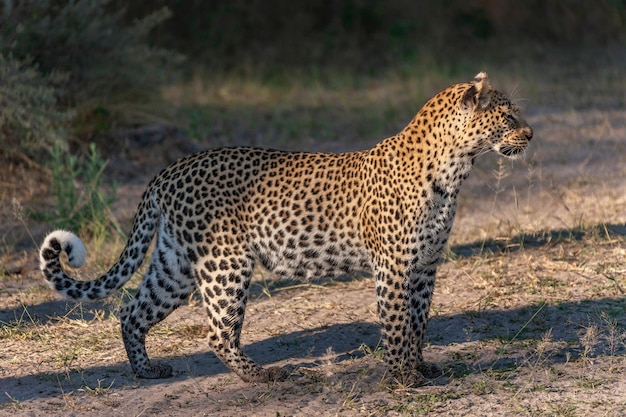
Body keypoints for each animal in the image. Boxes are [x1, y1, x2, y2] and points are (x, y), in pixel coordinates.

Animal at [39, 70, 528, 384]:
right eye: (507, 117)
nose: (531, 134)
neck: (455, 170)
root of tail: (169, 169)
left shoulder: (426, 264)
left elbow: (419, 320)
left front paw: (420, 367)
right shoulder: (394, 266)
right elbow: (397, 323)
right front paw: (402, 378)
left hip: (174, 265)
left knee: (131, 312)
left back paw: (146, 371)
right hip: (225, 265)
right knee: (217, 332)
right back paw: (264, 376)